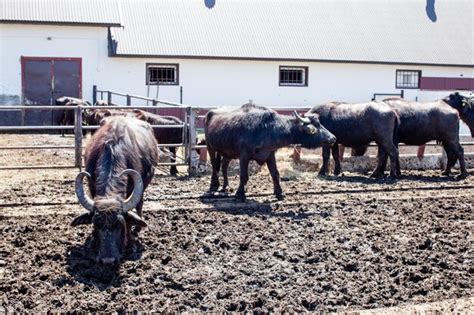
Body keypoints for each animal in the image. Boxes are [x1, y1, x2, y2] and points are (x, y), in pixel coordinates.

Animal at [71, 115, 158, 266]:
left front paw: (130, 244)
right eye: (96, 224)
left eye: (119, 224)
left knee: (140, 204)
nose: (108, 260)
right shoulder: (92, 187)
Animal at [206, 103, 336, 202]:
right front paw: (240, 195)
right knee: (214, 165)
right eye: (316, 127)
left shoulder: (270, 154)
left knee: (224, 165)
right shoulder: (244, 156)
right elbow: (244, 176)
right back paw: (213, 185)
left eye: (320, 124)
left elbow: (275, 174)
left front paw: (280, 193)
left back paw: (226, 186)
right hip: (210, 147)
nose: (333, 138)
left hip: (227, 151)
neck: (265, 129)